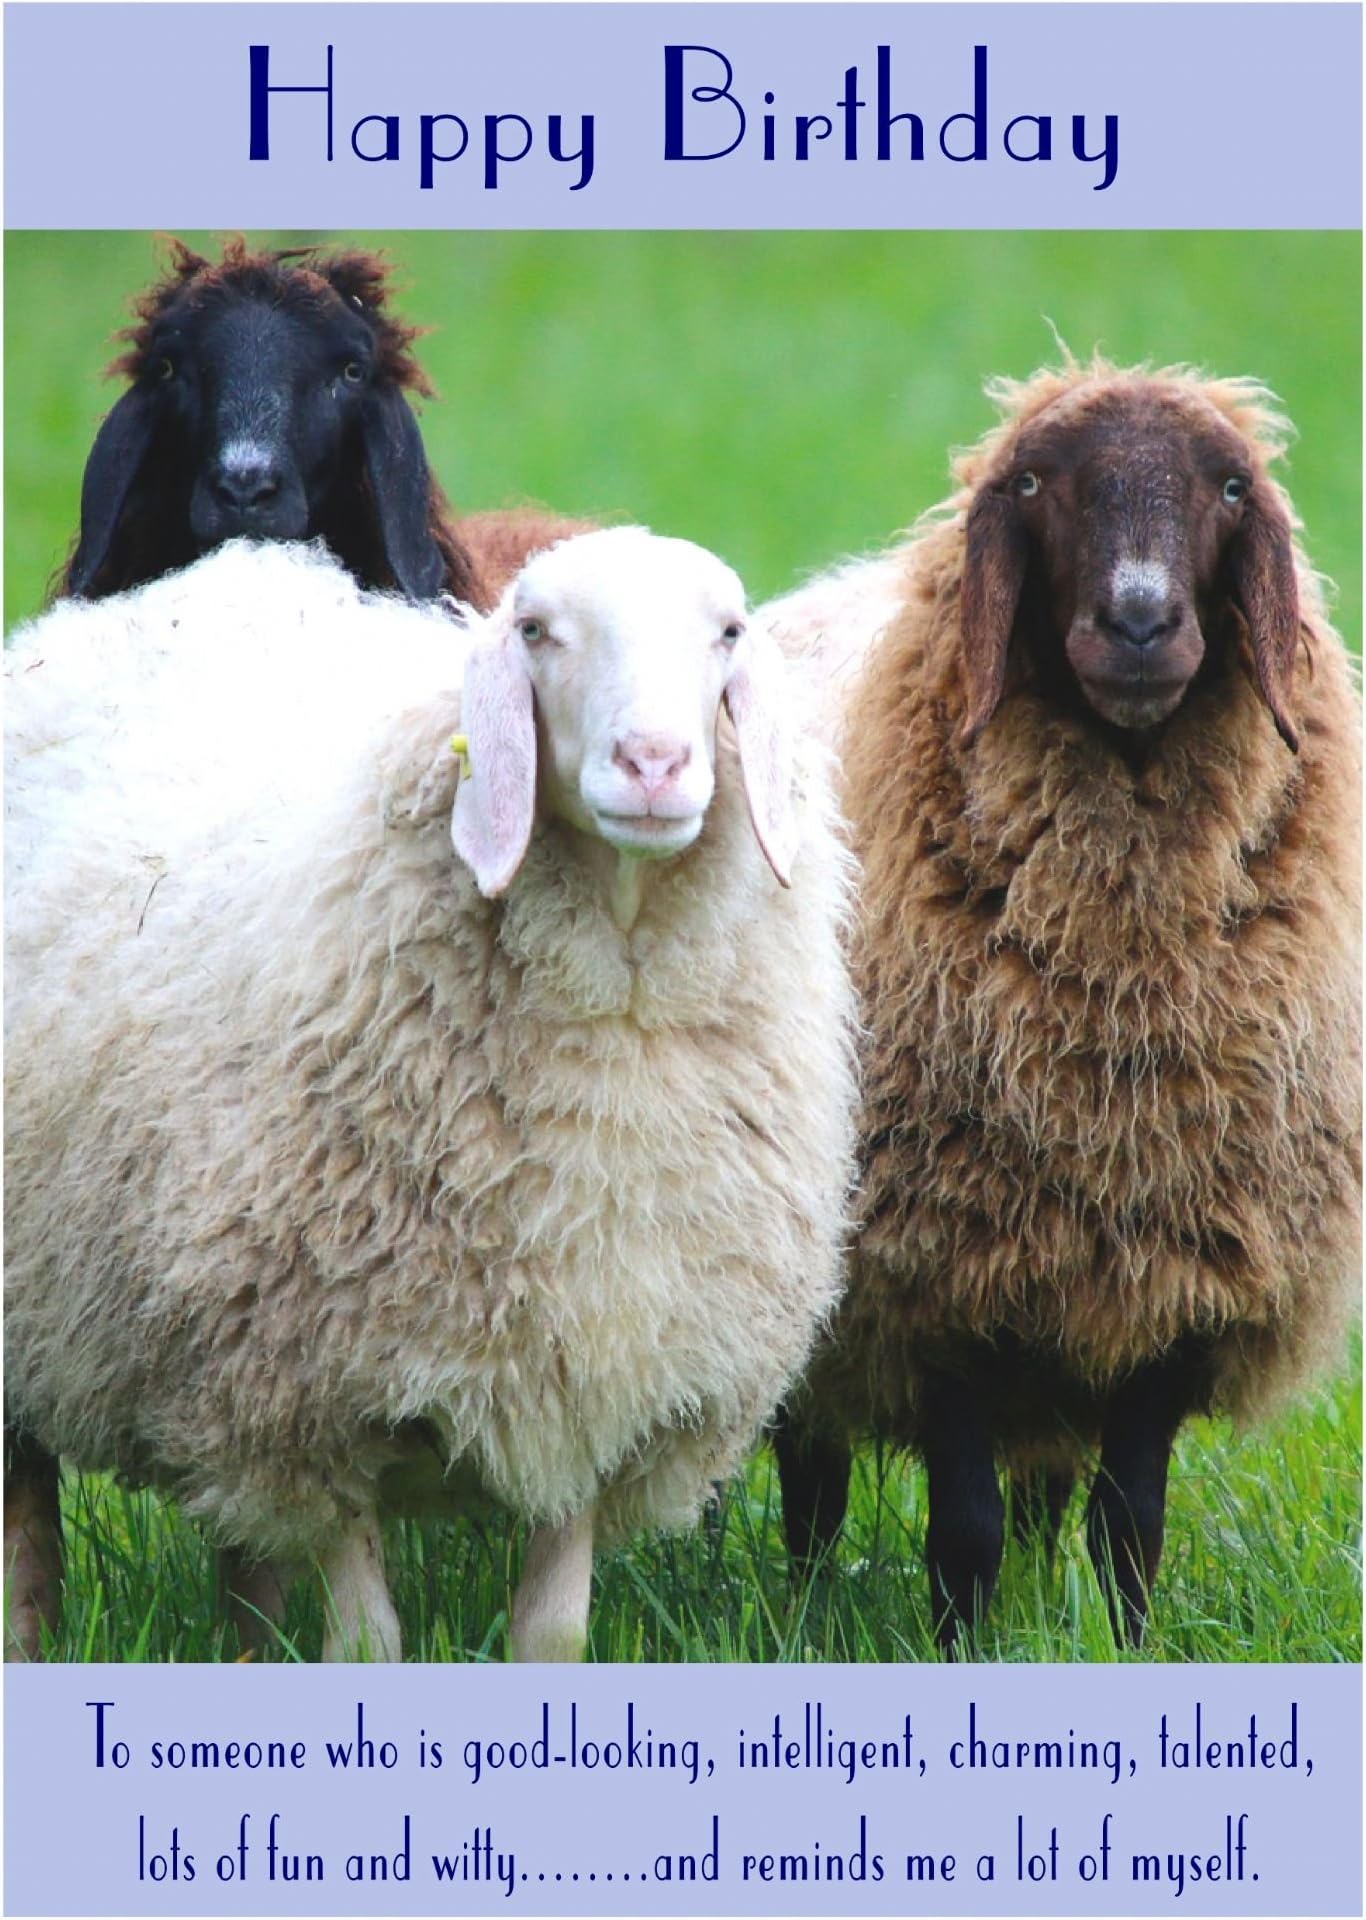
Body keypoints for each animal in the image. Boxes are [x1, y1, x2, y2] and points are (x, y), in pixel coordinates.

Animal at [3, 532, 857, 1662]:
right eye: (535, 631)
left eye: (726, 632)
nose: (656, 764)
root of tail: (194, 584)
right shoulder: (307, 1403)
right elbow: (367, 1644)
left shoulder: (598, 1379)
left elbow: (552, 1634)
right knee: (28, 1524)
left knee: (241, 1550)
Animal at [766, 358, 1361, 1655]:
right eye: (1035, 481)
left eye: (1228, 485)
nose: (1138, 623)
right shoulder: (936, 1271)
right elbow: (962, 1530)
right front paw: (956, 1647)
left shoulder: (1175, 1273)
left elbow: (1127, 1523)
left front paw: (1120, 1644)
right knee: (811, 1480)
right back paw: (797, 1609)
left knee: (1042, 1490)